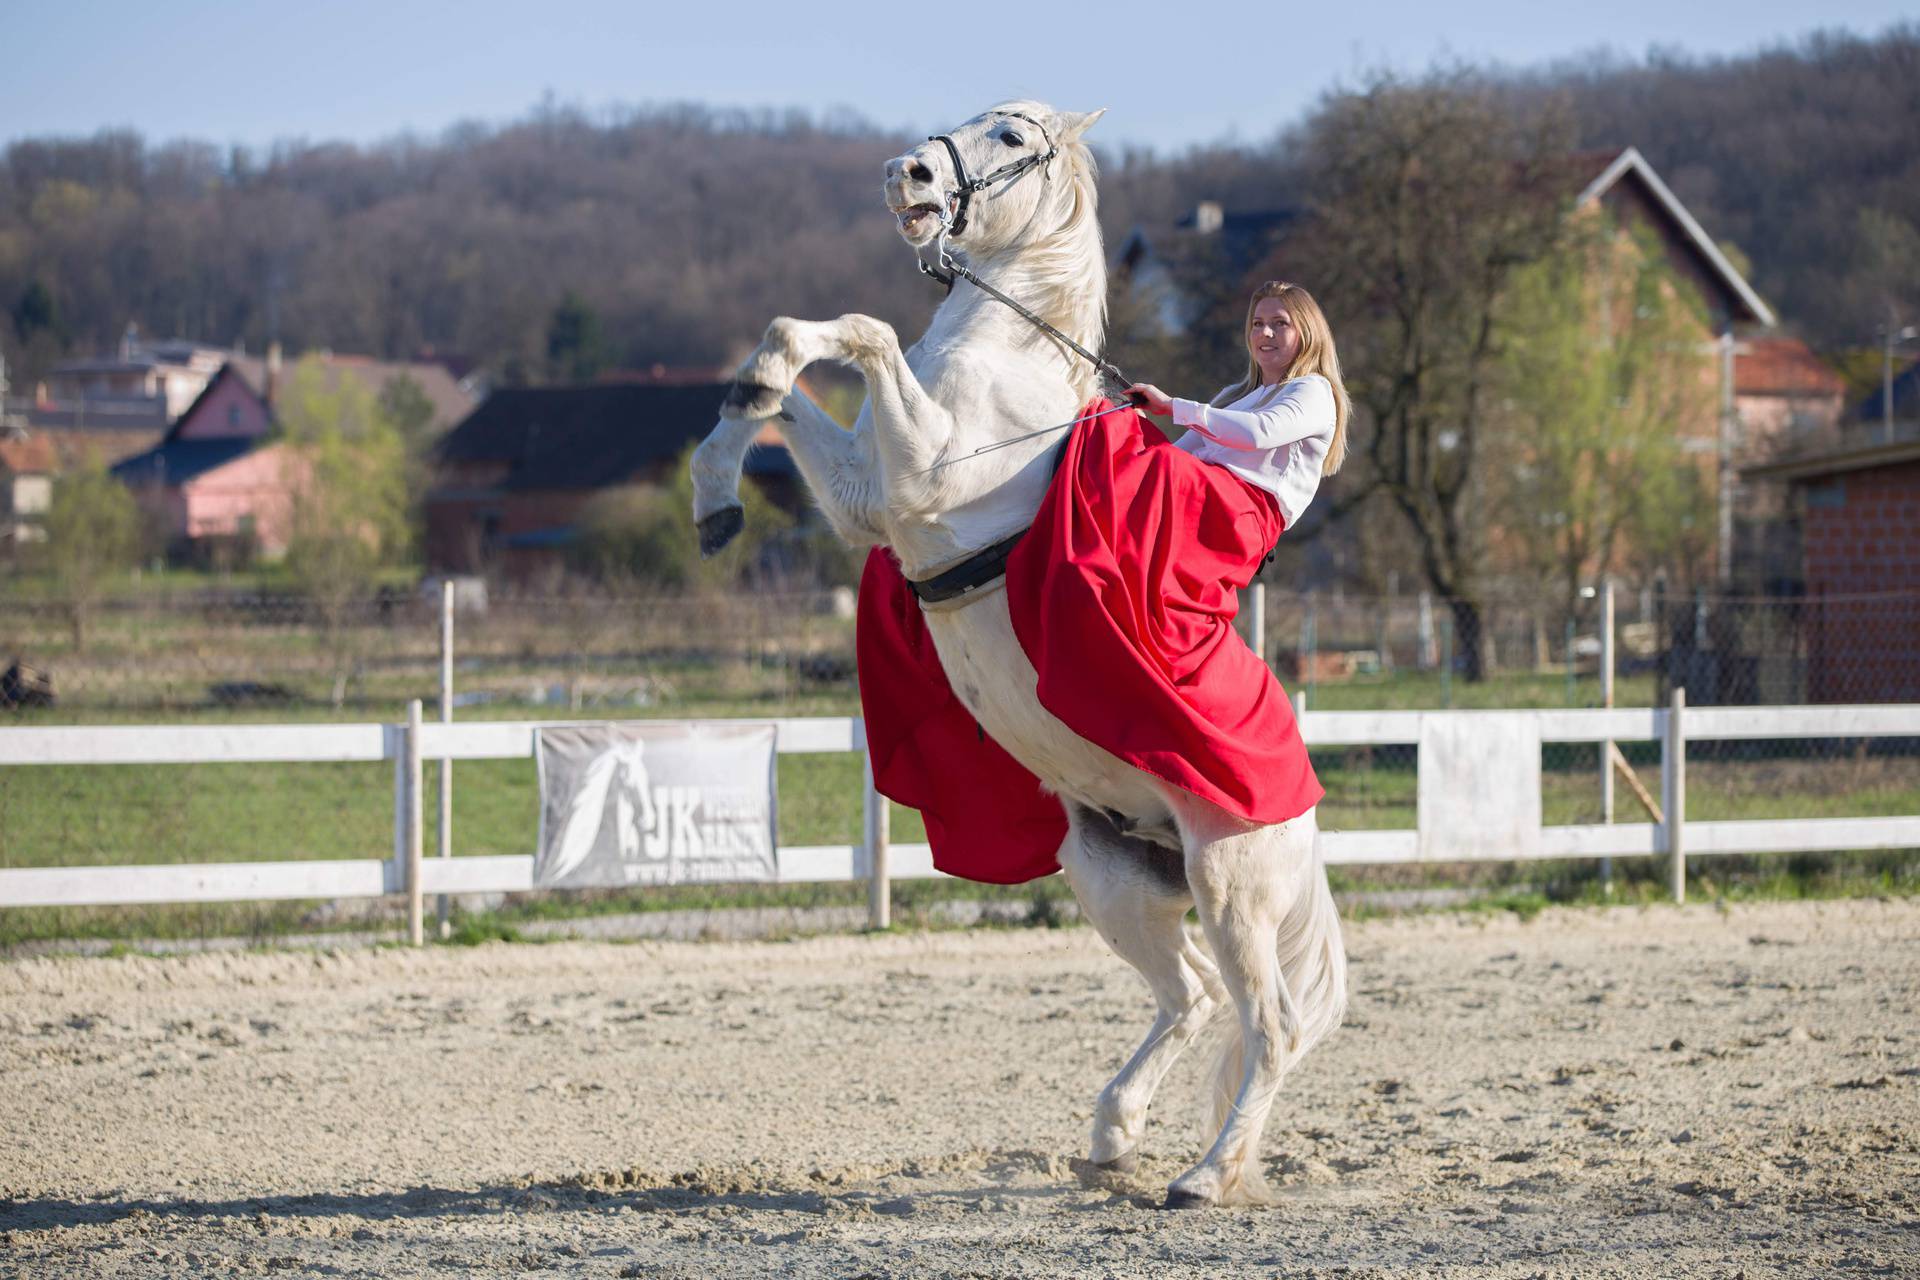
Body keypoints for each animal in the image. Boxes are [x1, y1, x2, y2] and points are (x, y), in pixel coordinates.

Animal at [695, 100, 1351, 1212]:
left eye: (1009, 136)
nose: (906, 175)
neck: (1006, 360)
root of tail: (1302, 813)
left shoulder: (916, 476)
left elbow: (859, 333)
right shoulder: (866, 492)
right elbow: (785, 379)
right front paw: (719, 474)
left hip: (1230, 882)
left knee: (1271, 1024)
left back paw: (1203, 1176)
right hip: (1112, 875)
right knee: (1192, 994)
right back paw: (1112, 1135)